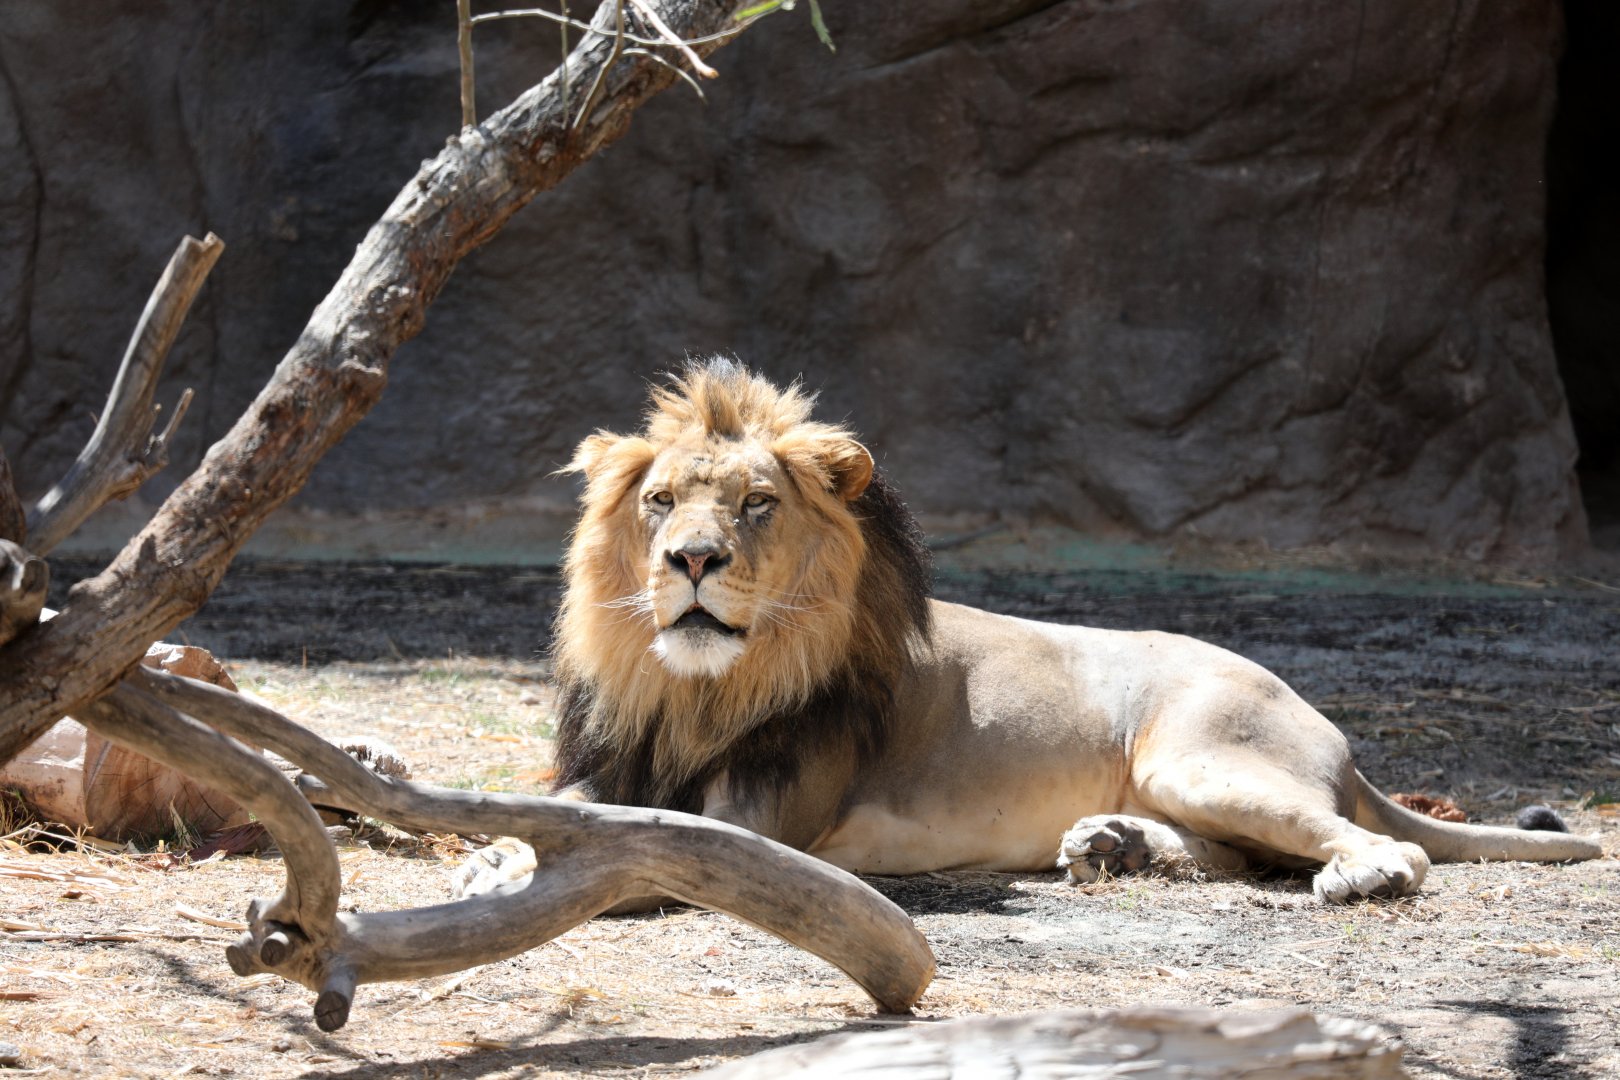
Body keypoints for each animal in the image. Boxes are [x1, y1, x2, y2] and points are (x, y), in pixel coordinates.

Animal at [494, 358, 1600, 905]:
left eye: (756, 504)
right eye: (662, 502)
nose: (691, 559)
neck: (694, 687)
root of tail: (1323, 720)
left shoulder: (765, 824)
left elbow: (650, 859)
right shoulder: (613, 762)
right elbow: (552, 815)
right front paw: (497, 857)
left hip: (1197, 756)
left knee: (1372, 846)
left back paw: (1356, 873)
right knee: (1245, 857)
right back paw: (1117, 848)